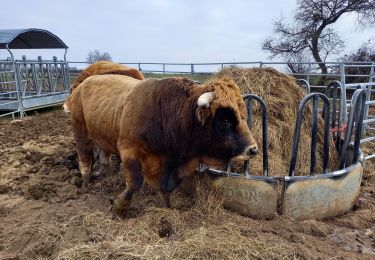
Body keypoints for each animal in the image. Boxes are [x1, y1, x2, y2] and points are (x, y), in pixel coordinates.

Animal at [67, 74, 258, 215]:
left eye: (243, 114)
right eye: (225, 120)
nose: (253, 149)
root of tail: (83, 84)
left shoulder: (171, 163)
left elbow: (167, 187)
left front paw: (166, 207)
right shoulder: (129, 151)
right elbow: (135, 183)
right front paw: (119, 206)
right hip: (80, 131)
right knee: (85, 159)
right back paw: (85, 184)